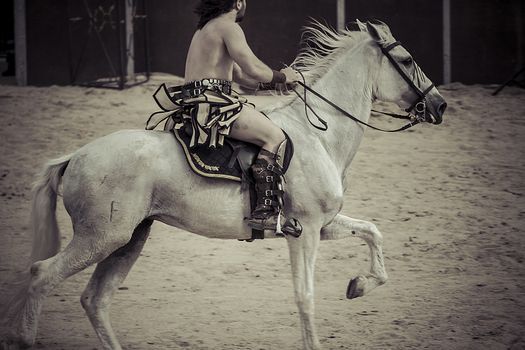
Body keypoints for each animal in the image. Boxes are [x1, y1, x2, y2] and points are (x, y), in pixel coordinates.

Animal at [0, 21, 446, 350]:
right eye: (406, 59)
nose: (440, 105)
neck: (319, 133)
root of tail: (74, 156)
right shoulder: (305, 232)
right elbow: (305, 298)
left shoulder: (323, 224)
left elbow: (373, 232)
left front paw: (359, 285)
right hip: (101, 238)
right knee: (42, 275)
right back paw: (25, 338)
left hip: (128, 240)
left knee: (95, 300)